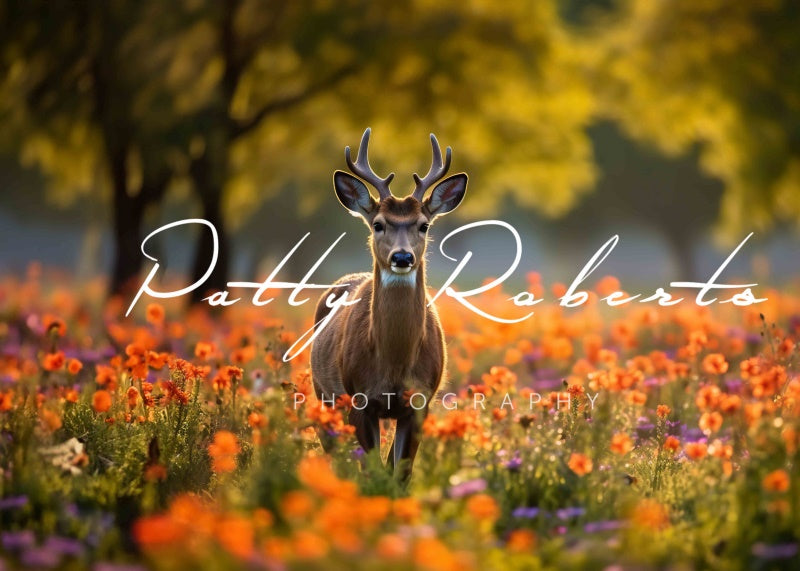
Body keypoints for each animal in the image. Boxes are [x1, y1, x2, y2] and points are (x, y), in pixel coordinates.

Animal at [310, 128, 467, 480]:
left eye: (424, 224)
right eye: (378, 224)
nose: (402, 256)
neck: (394, 367)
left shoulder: (419, 404)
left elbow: (399, 474)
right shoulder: (358, 399)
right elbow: (373, 472)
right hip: (322, 394)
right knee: (335, 455)